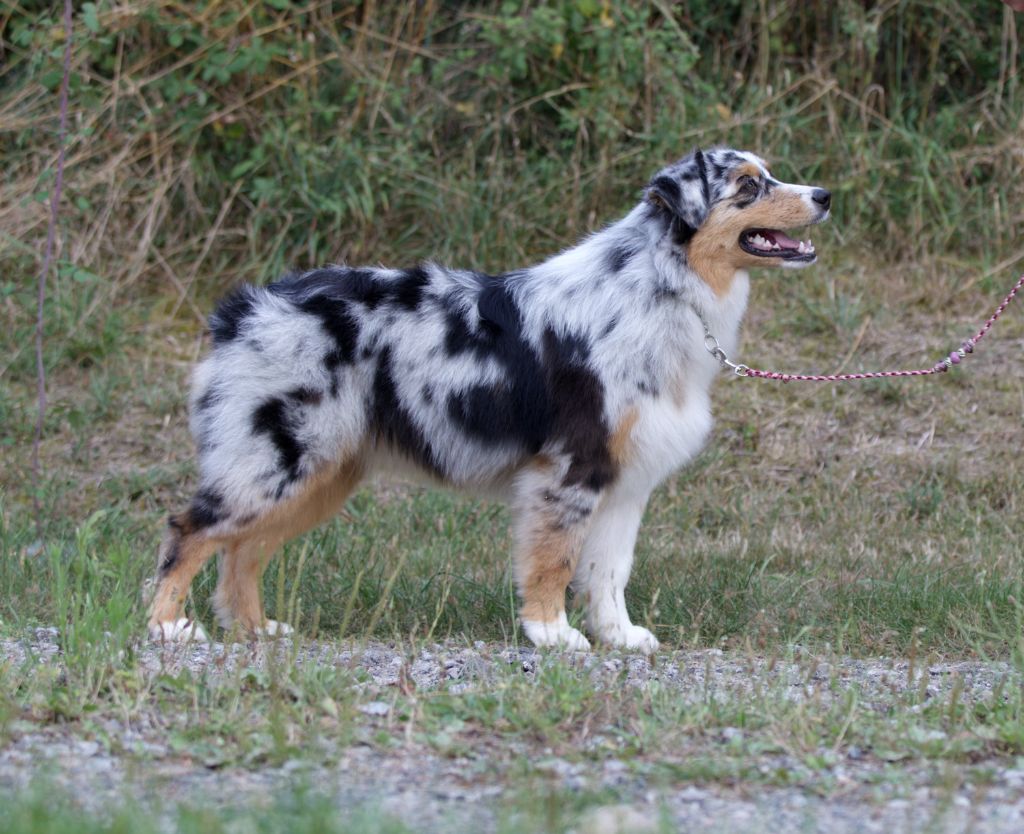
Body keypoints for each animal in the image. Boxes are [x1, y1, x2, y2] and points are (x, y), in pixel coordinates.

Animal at [148, 151, 827, 659]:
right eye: (748, 185)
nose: (823, 194)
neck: (663, 286)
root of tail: (244, 309)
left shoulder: (625, 479)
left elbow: (610, 569)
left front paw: (619, 636)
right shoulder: (569, 470)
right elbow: (554, 560)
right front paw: (552, 633)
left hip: (319, 473)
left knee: (243, 550)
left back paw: (254, 630)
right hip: (279, 459)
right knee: (191, 529)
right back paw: (168, 628)